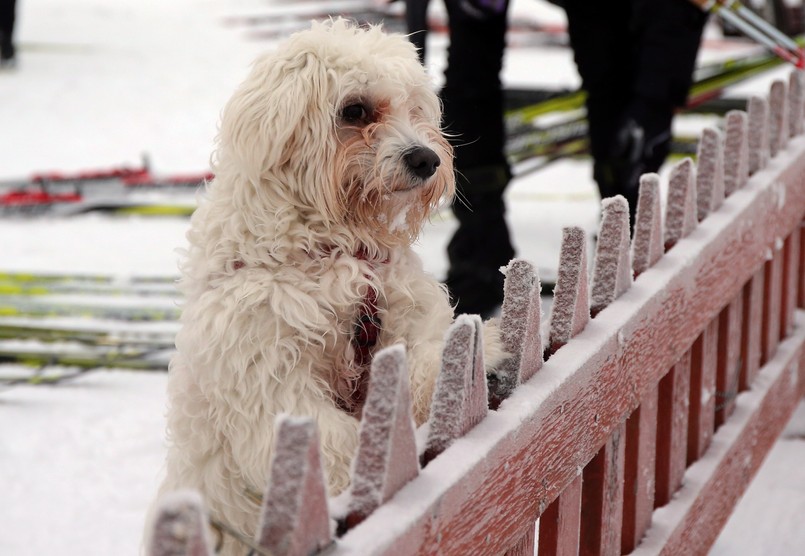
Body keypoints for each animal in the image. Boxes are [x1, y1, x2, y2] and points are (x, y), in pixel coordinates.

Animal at [154, 19, 506, 552]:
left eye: (414, 109)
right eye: (354, 110)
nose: (426, 159)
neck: (336, 249)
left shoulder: (405, 313)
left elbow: (429, 359)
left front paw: (487, 354)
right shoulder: (271, 379)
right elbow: (336, 443)